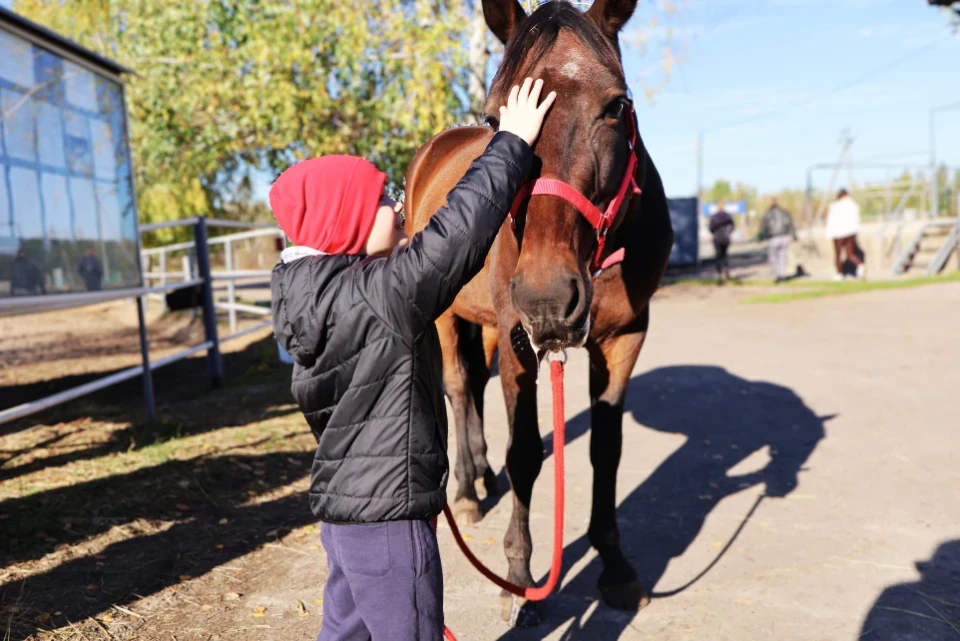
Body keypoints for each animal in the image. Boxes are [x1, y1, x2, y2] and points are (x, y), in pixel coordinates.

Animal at [402, 0, 672, 624]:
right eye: (494, 118)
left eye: (615, 106)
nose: (548, 297)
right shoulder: (518, 338)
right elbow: (525, 452)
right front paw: (520, 578)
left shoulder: (625, 337)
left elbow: (606, 449)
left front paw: (615, 566)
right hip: (448, 316)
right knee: (458, 387)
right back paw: (465, 492)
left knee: (474, 390)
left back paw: (479, 473)